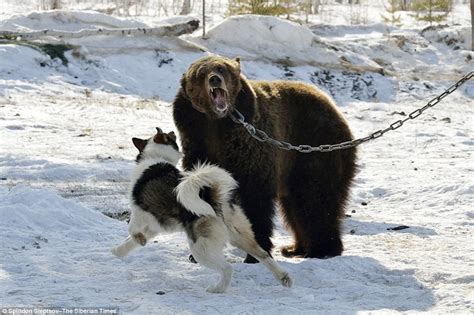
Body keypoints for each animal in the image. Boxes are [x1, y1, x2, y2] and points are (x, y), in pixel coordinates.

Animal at [112, 128, 292, 294]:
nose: (172, 131)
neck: (155, 157)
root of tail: (213, 199)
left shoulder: (140, 211)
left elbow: (132, 230)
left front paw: (137, 240)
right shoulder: (153, 226)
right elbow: (130, 242)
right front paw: (118, 252)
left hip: (200, 248)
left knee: (227, 268)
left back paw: (217, 289)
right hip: (239, 236)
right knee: (264, 255)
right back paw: (283, 278)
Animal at [173, 55, 356, 262]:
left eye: (221, 68)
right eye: (201, 73)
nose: (214, 79)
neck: (216, 123)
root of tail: (333, 106)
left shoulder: (249, 148)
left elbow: (255, 198)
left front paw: (255, 253)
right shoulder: (198, 144)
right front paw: (199, 253)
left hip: (314, 146)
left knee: (314, 198)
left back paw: (322, 249)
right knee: (295, 206)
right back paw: (296, 248)